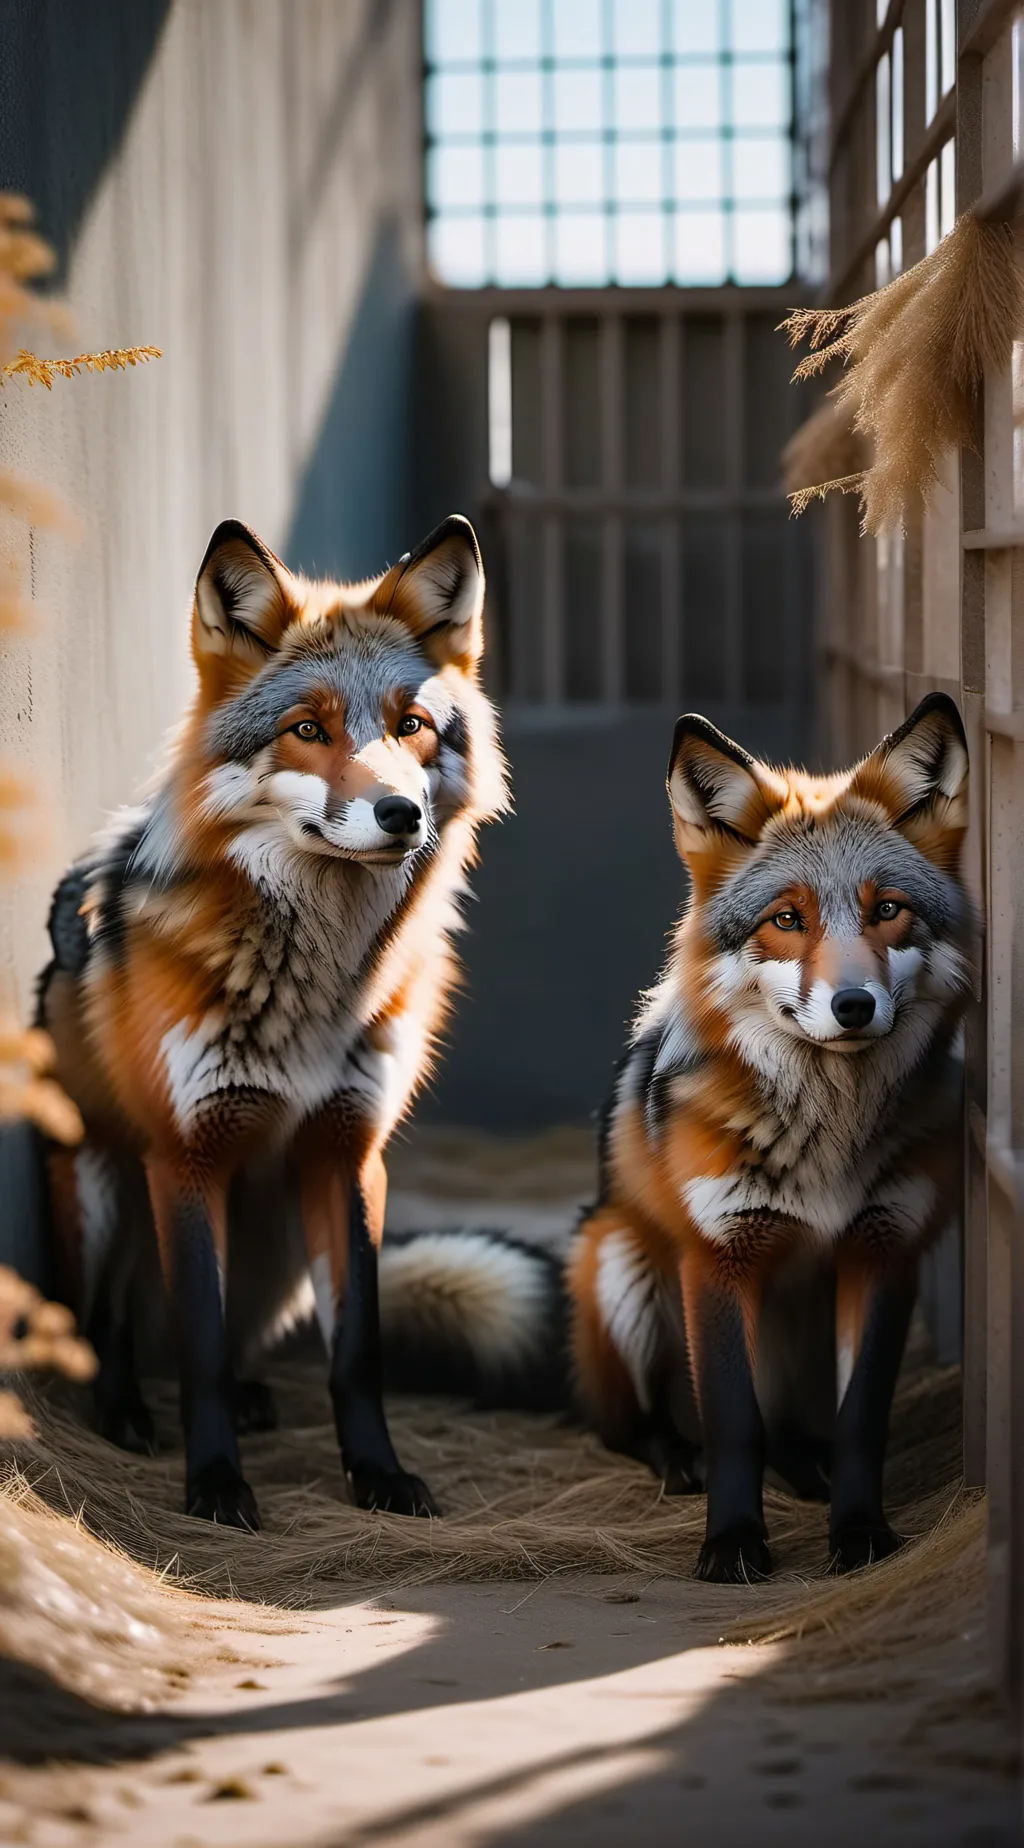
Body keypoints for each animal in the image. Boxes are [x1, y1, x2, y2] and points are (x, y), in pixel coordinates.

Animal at [35, 513, 508, 1531]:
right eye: (308, 730)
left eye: (411, 726)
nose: (399, 814)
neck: (310, 997)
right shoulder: (184, 1158)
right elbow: (201, 1349)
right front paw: (216, 1484)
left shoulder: (347, 1155)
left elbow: (356, 1356)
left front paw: (378, 1475)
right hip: (102, 1194)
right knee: (109, 1328)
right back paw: (127, 1410)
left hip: (281, 1250)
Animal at [351, 695, 973, 1584]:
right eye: (788, 920)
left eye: (888, 910)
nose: (853, 1006)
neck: (827, 1140)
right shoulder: (717, 1257)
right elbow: (734, 1423)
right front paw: (734, 1544)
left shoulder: (883, 1253)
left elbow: (861, 1426)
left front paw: (860, 1534)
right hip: (624, 1267)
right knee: (637, 1426)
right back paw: (680, 1459)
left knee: (790, 1435)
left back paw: (806, 1467)